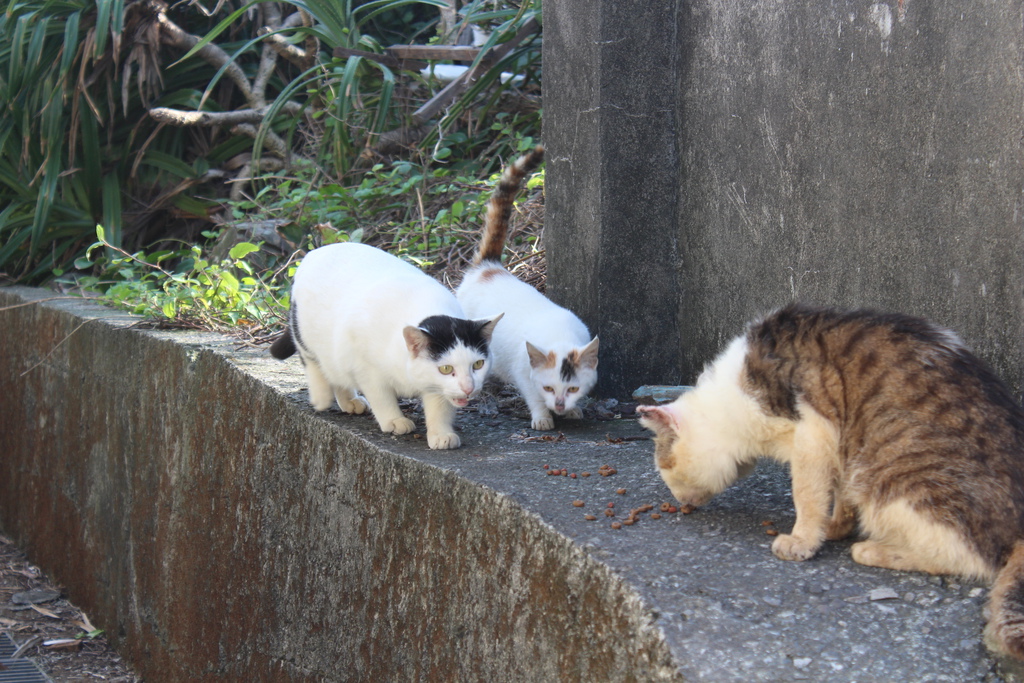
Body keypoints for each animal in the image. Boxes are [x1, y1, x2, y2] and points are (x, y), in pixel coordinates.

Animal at [268, 242, 499, 450]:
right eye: (446, 368)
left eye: (478, 364)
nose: (468, 388)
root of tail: (314, 252)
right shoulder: (366, 367)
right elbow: (381, 396)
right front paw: (394, 420)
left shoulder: (436, 386)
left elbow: (439, 407)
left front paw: (440, 434)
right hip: (305, 332)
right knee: (311, 360)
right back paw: (321, 396)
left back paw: (349, 401)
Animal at [456, 147, 598, 430]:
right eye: (548, 388)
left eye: (573, 389)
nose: (560, 405)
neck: (559, 336)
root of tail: (487, 267)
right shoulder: (523, 370)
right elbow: (531, 393)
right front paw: (543, 417)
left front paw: (574, 411)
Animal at [634, 305, 1024, 655]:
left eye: (663, 468)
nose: (678, 500)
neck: (733, 403)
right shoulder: (839, 446)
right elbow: (839, 494)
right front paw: (834, 526)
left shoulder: (813, 432)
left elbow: (807, 495)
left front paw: (803, 540)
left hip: (895, 486)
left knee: (967, 558)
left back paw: (872, 549)